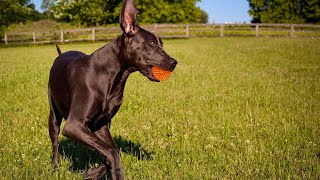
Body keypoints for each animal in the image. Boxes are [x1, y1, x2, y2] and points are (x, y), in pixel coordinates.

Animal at [47, 0, 178, 179]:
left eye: (161, 44)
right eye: (151, 43)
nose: (174, 62)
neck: (110, 75)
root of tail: (60, 55)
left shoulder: (101, 125)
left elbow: (112, 151)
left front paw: (93, 172)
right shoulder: (74, 126)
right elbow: (112, 152)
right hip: (54, 116)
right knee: (55, 144)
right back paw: (55, 168)